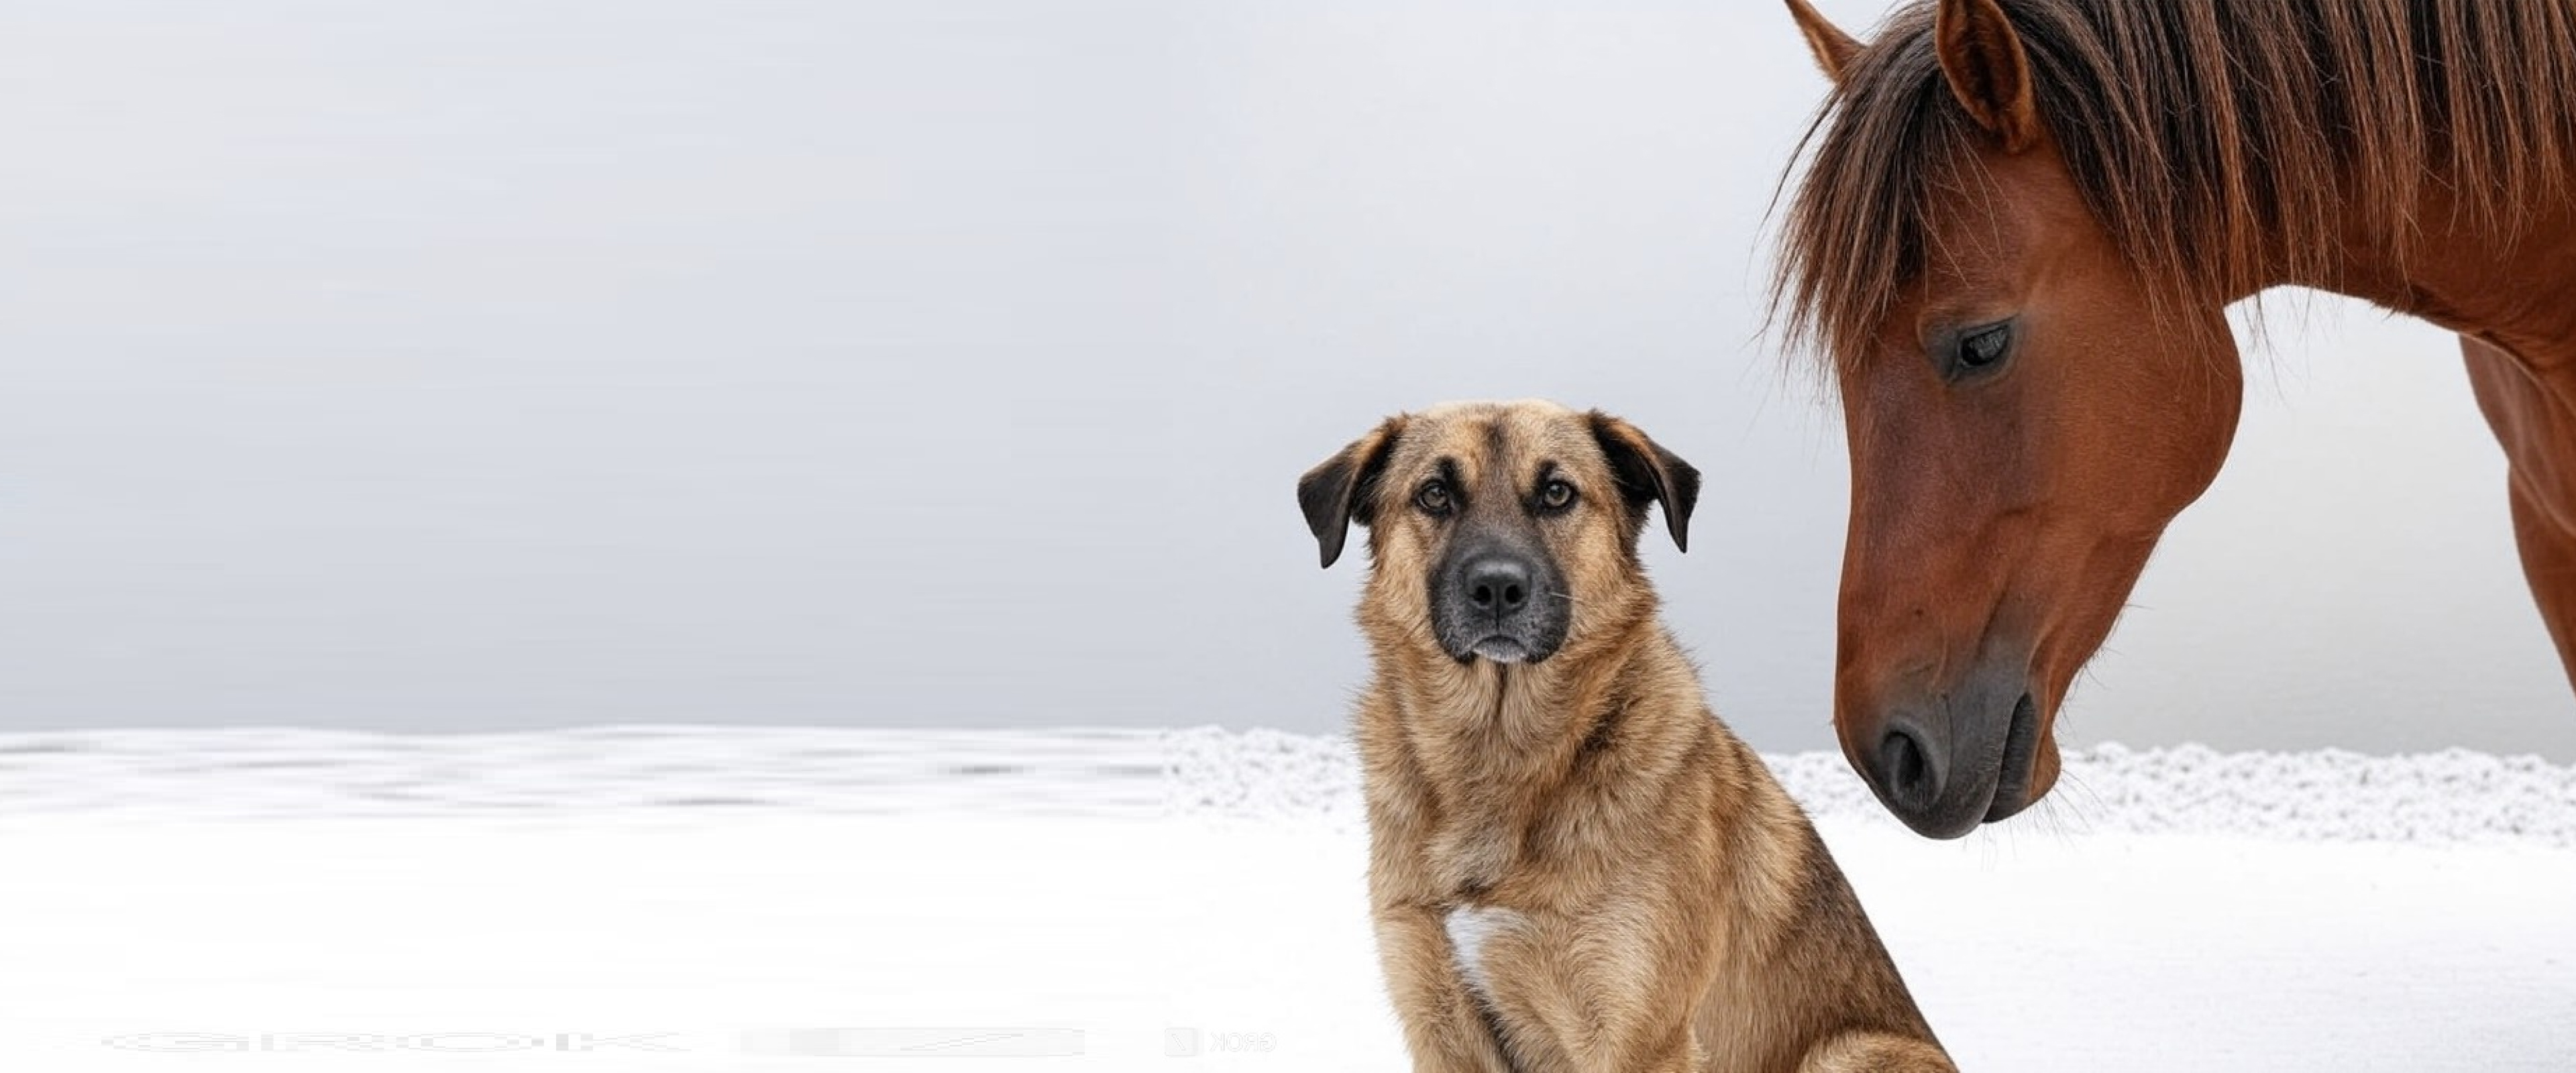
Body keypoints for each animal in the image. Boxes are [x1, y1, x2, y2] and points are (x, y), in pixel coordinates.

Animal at [1298, 396, 1937, 1065]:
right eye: (1435, 494)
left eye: (1557, 492)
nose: (1497, 588)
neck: (1501, 759)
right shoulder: (1441, 1024)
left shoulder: (1637, 1038)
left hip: (1852, 1052)